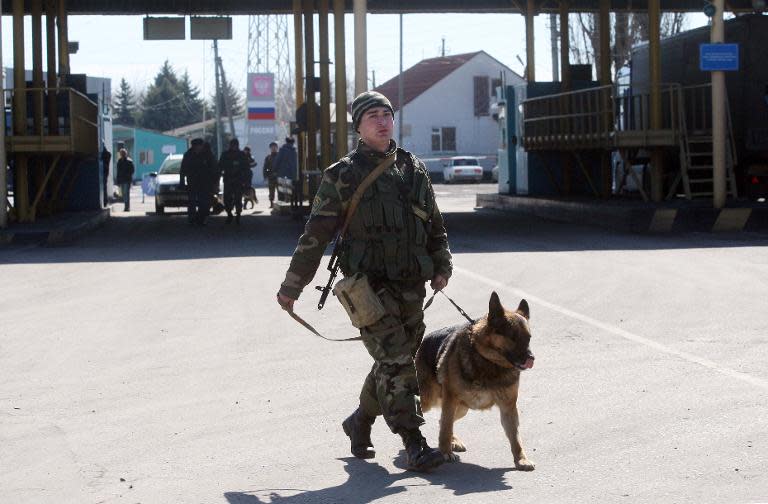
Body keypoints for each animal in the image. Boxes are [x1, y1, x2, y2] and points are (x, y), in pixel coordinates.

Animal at [414, 294, 536, 470]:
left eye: (528, 338)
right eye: (513, 337)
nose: (532, 358)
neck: (489, 362)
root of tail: (423, 342)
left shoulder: (508, 407)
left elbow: (515, 437)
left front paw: (521, 459)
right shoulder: (450, 400)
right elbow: (445, 428)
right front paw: (445, 452)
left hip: (461, 408)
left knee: (442, 420)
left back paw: (453, 441)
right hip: (429, 400)